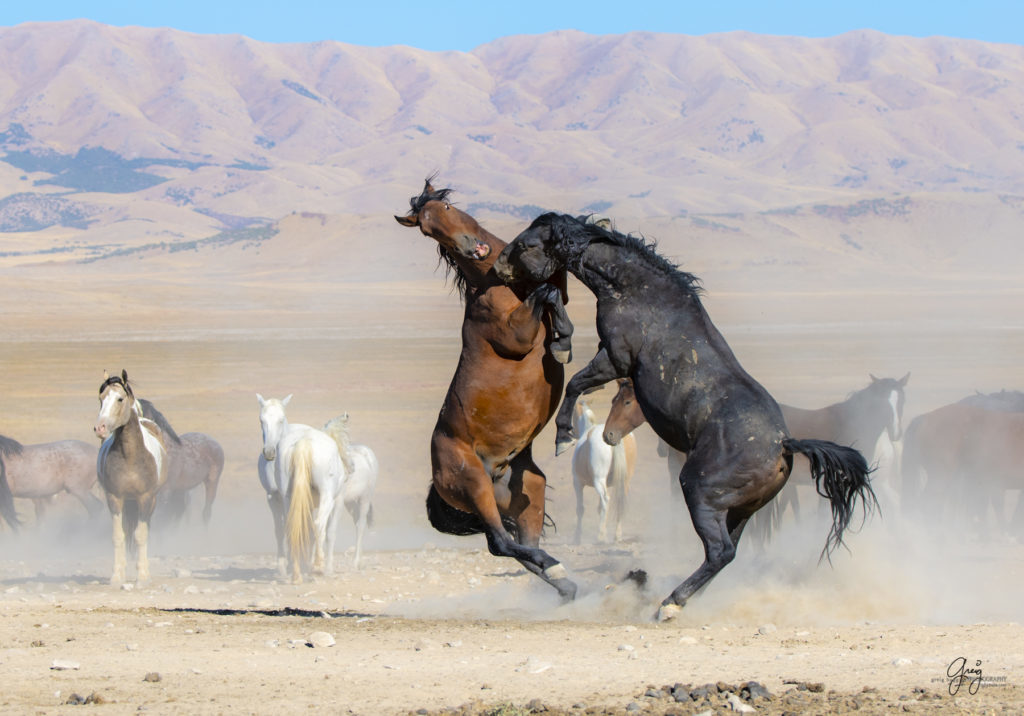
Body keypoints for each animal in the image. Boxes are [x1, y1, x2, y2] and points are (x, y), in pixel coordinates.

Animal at [395, 178, 581, 598]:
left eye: (447, 208)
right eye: (427, 229)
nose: (472, 248)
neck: (491, 283)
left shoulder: (552, 286)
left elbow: (554, 288)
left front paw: (564, 337)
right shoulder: (518, 334)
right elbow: (545, 295)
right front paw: (561, 343)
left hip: (527, 490)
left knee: (520, 544)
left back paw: (567, 584)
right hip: (474, 486)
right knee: (501, 543)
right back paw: (559, 571)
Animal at [573, 397, 634, 544]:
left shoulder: (577, 483)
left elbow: (580, 509)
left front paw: (577, 538)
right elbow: (599, 508)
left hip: (598, 481)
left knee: (606, 500)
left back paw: (600, 537)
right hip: (624, 482)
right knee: (619, 504)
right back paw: (617, 536)